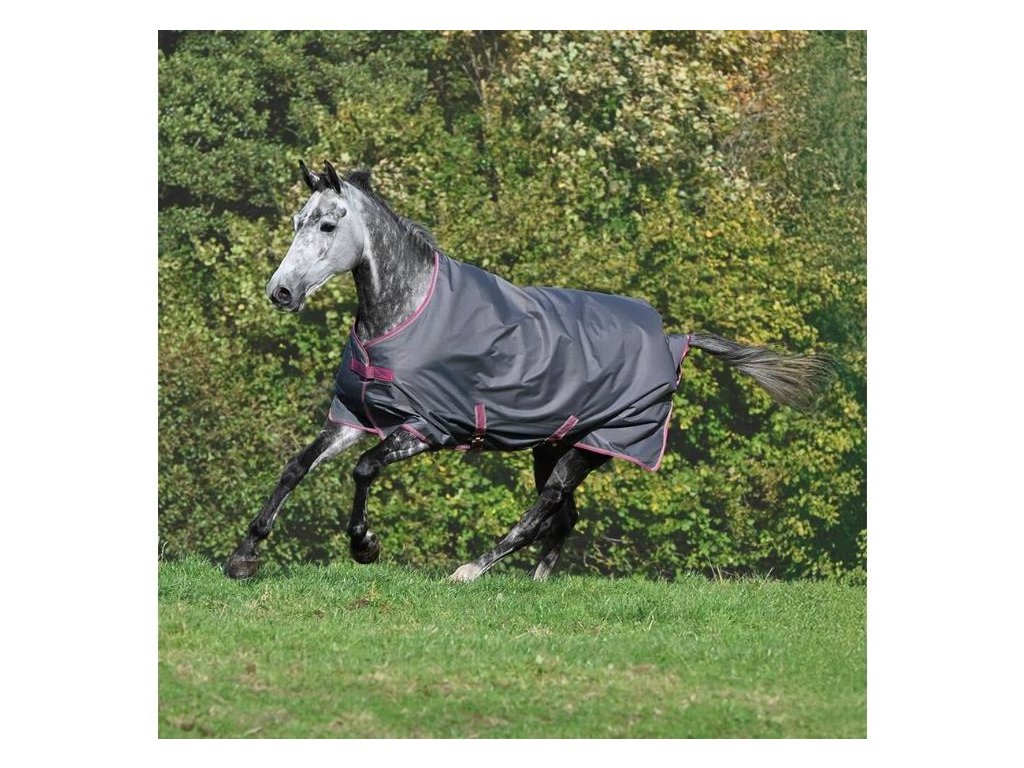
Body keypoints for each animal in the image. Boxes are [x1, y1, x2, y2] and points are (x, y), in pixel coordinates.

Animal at [226, 161, 830, 582]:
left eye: (328, 224)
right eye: (297, 221)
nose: (280, 292)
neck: (405, 312)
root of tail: (672, 340)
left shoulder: (426, 429)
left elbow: (364, 470)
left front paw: (364, 545)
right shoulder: (357, 418)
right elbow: (295, 467)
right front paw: (243, 556)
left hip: (592, 446)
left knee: (544, 510)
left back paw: (472, 569)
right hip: (553, 444)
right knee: (563, 517)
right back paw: (535, 581)